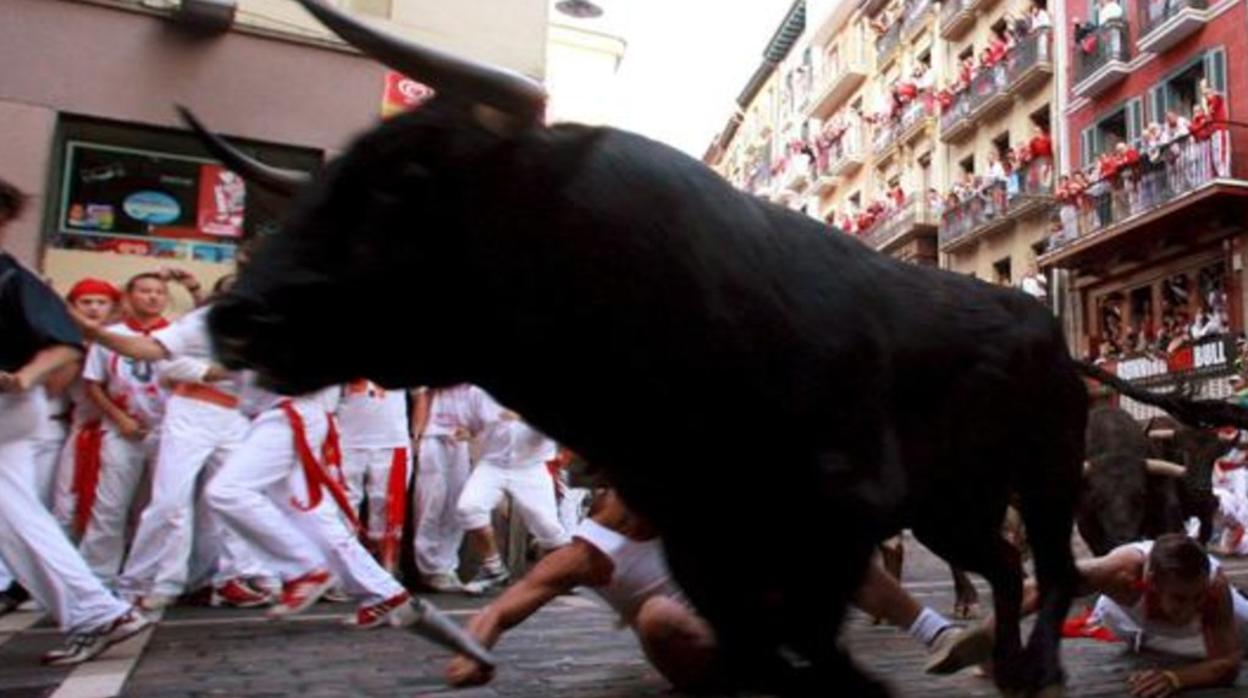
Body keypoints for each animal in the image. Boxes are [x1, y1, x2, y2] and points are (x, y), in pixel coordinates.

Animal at [189, 1, 1248, 694]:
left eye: (408, 176)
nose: (238, 316)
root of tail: (1043, 329)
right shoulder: (701, 529)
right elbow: (757, 647)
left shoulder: (834, 518)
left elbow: (808, 645)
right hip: (952, 500)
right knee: (1001, 563)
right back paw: (1007, 661)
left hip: (1044, 471)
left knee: (1054, 565)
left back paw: (1043, 666)